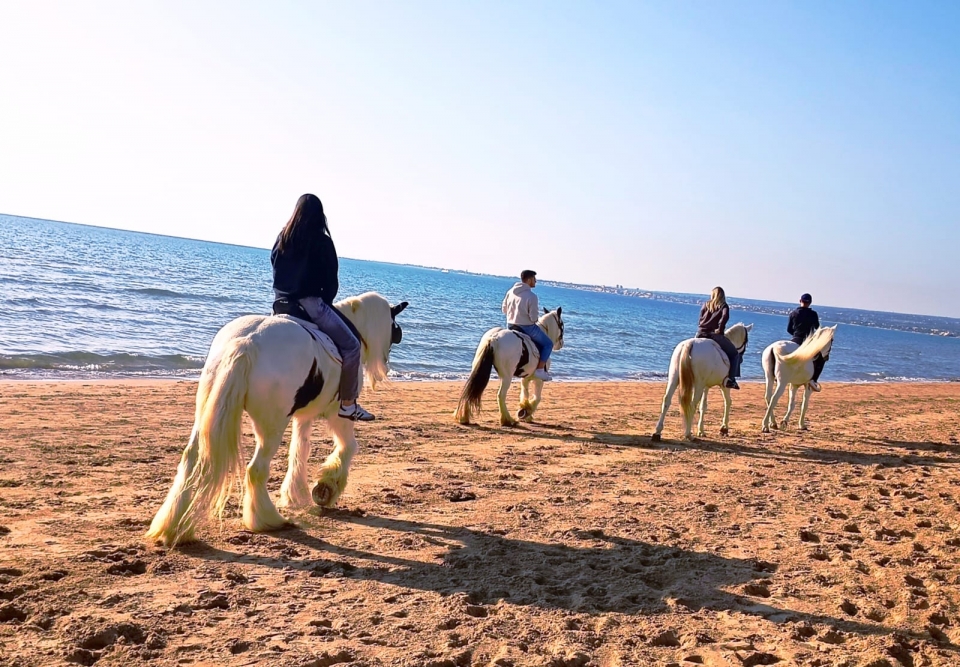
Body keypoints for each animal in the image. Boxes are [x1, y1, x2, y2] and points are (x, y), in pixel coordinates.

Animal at [146, 292, 409, 547]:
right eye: (394, 326)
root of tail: (247, 342)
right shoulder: (338, 414)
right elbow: (348, 447)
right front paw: (326, 488)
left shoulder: (304, 416)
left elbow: (299, 449)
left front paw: (296, 493)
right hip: (271, 427)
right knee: (255, 470)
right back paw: (267, 520)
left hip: (206, 415)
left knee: (192, 459)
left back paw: (172, 527)